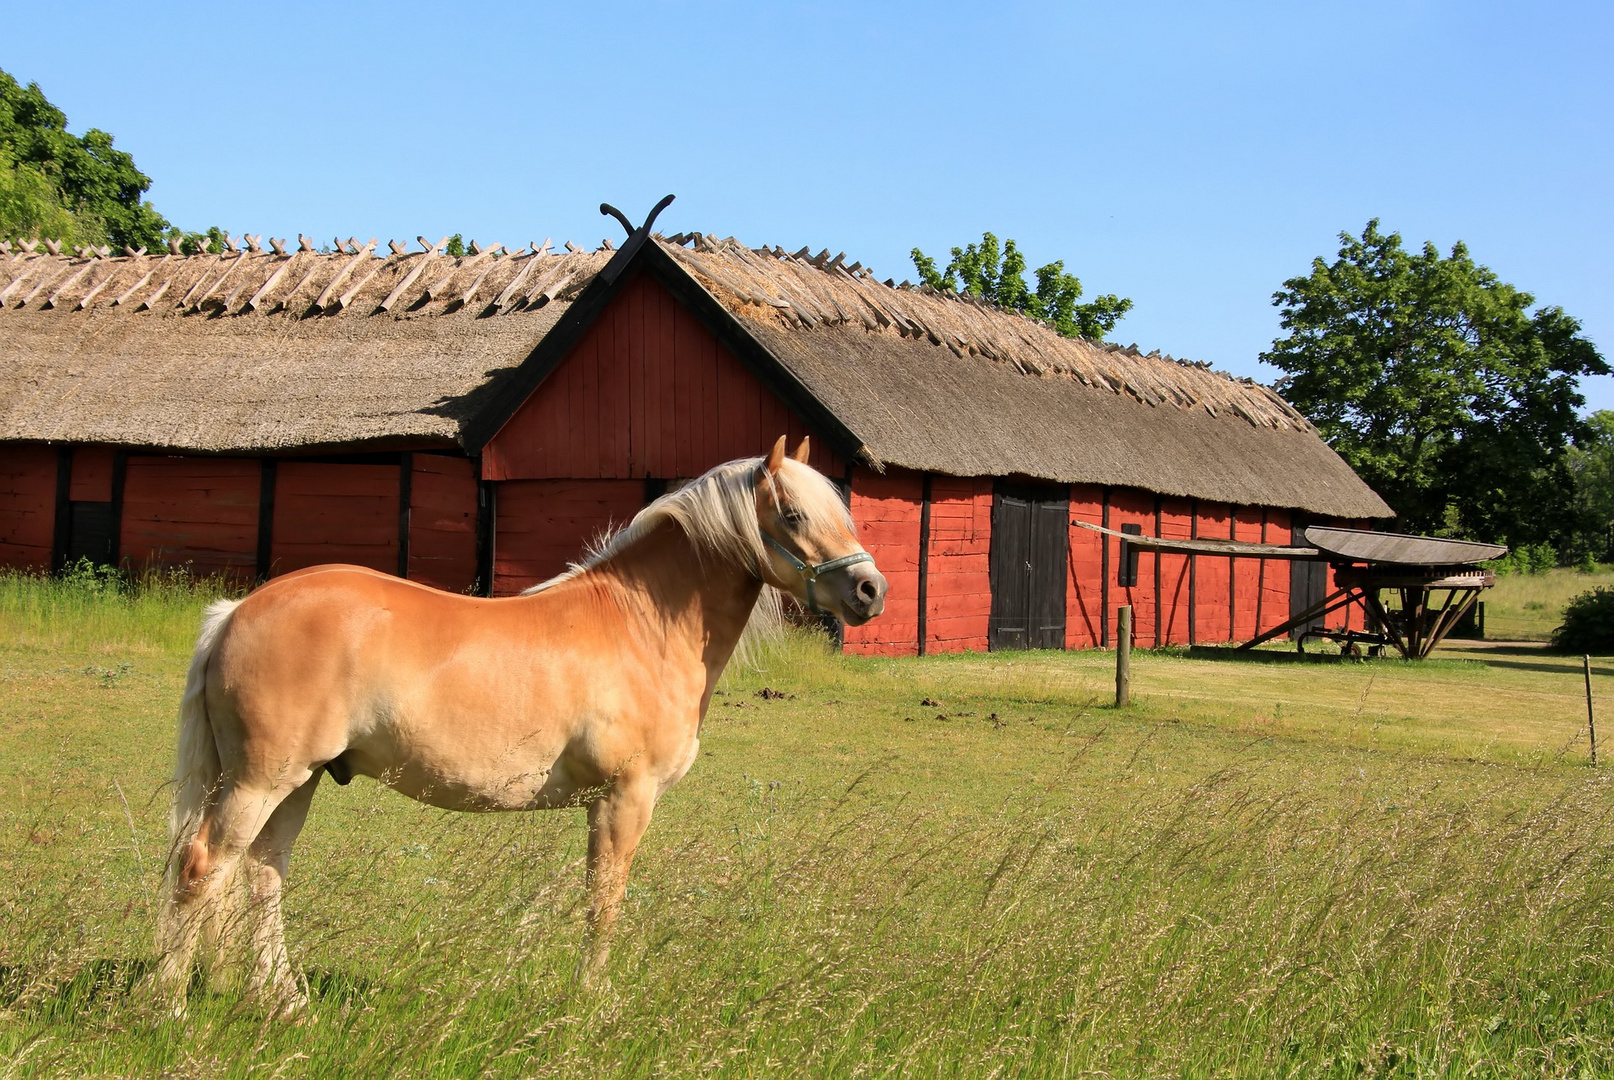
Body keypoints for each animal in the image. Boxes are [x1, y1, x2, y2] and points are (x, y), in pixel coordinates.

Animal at [157, 432, 890, 1007]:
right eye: (791, 514)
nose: (870, 591)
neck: (642, 625)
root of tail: (236, 611)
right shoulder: (624, 799)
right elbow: (603, 899)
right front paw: (592, 1002)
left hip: (299, 780)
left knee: (261, 875)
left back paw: (280, 1003)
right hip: (260, 781)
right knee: (201, 870)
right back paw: (171, 1009)